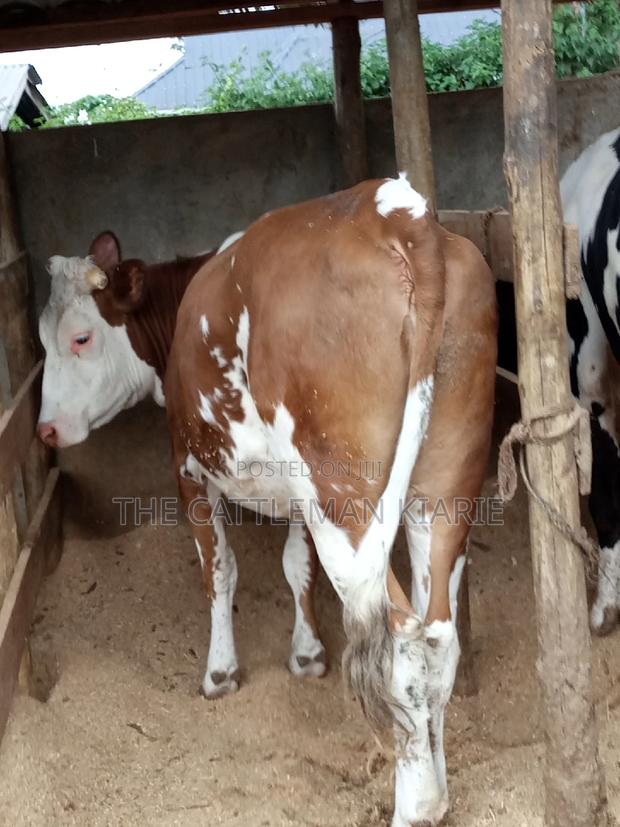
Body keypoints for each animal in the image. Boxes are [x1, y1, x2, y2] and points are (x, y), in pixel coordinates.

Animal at [164, 175, 497, 826]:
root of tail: (393, 208)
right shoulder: (297, 499)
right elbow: (296, 565)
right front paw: (306, 654)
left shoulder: (189, 468)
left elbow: (220, 569)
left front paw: (220, 672)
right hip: (443, 489)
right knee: (438, 636)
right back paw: (437, 794)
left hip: (345, 499)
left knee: (401, 642)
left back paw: (415, 807)